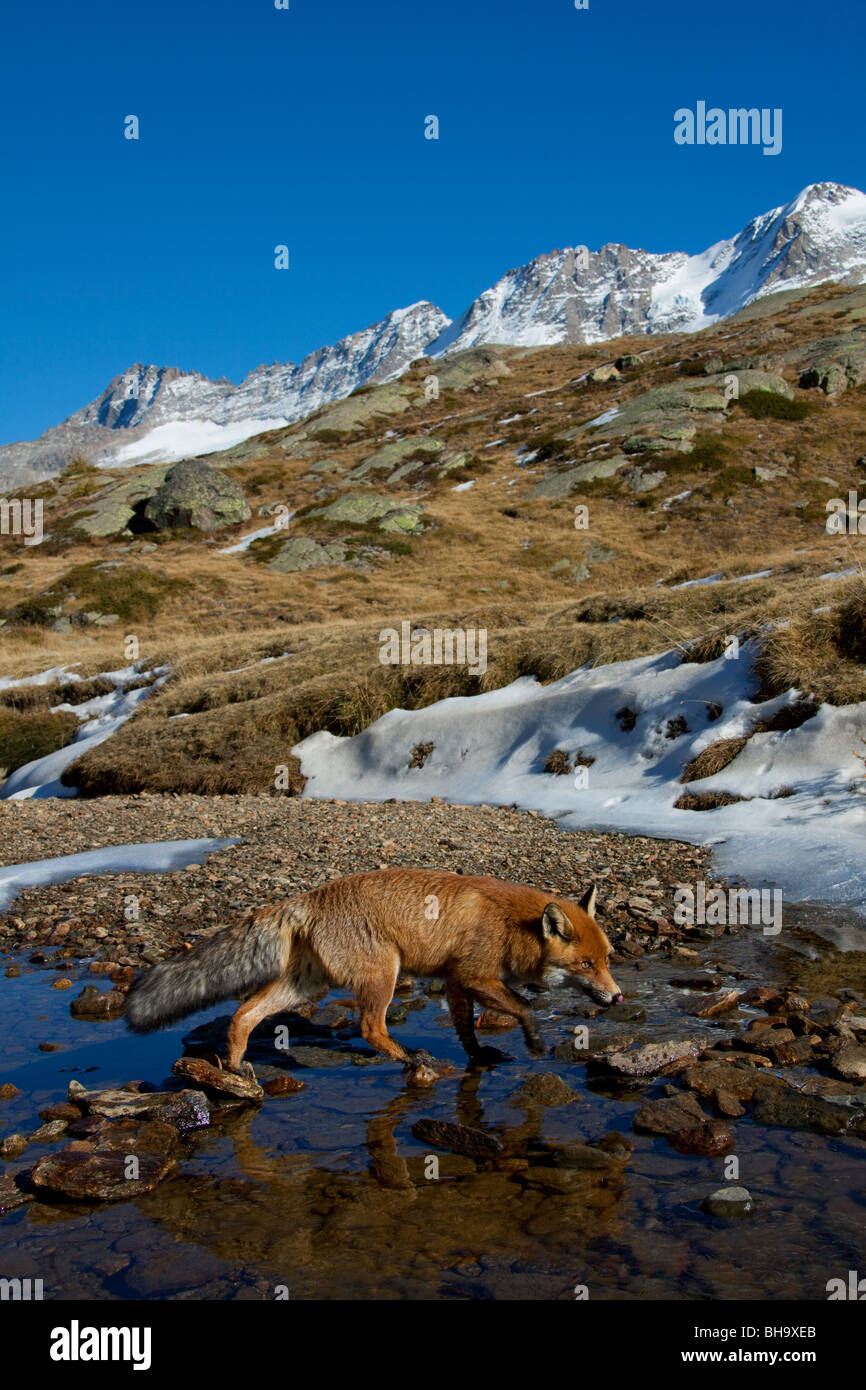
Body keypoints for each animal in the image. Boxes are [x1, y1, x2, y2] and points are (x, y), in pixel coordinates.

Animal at [125, 867, 619, 1073]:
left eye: (609, 958)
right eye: (585, 964)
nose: (616, 996)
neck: (511, 925)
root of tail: (309, 897)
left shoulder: (455, 980)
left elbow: (467, 1029)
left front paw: (479, 1058)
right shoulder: (475, 976)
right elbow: (524, 1007)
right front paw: (534, 1042)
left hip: (305, 986)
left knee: (244, 1012)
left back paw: (233, 1065)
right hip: (384, 974)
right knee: (369, 1028)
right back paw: (410, 1058)